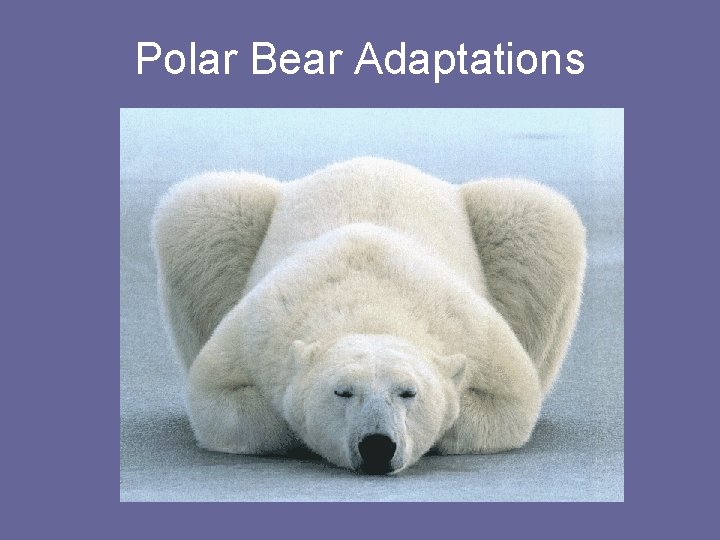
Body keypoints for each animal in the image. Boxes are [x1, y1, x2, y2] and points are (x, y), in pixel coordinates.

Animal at [151, 157, 586, 474]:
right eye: (343, 391)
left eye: (408, 391)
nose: (377, 445)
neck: (371, 305)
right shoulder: (261, 330)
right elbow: (217, 397)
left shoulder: (473, 334)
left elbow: (511, 403)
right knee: (203, 210)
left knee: (536, 217)